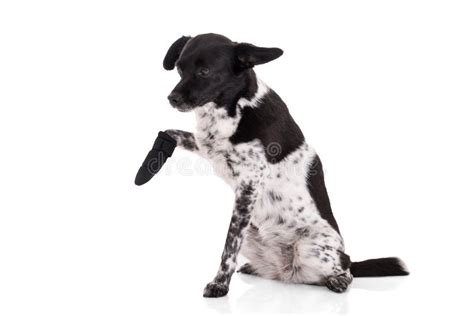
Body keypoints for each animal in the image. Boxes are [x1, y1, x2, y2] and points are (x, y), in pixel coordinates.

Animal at [161, 33, 410, 298]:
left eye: (205, 71)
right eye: (179, 68)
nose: (172, 98)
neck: (237, 107)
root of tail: (289, 271)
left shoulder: (249, 185)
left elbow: (229, 246)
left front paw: (219, 284)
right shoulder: (208, 149)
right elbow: (176, 134)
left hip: (310, 248)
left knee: (345, 269)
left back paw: (338, 279)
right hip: (253, 235)